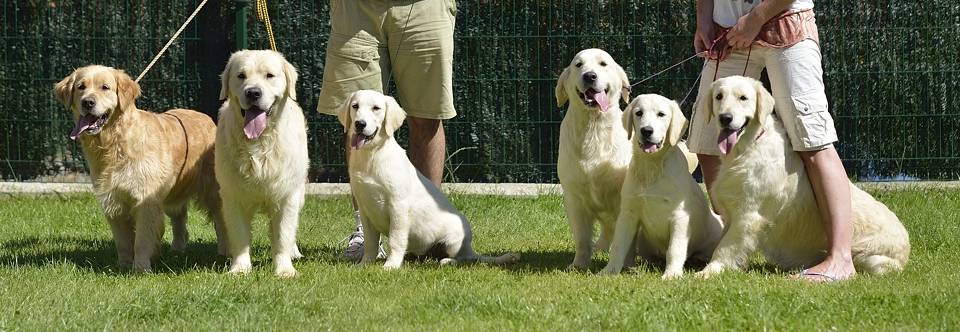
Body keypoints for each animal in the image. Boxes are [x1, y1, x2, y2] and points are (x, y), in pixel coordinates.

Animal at [55, 65, 227, 272]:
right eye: (81, 87)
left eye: (105, 87)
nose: (87, 102)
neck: (115, 143)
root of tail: (207, 118)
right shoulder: (114, 202)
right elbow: (123, 242)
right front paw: (123, 266)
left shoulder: (145, 201)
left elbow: (142, 240)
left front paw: (141, 268)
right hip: (173, 192)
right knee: (179, 221)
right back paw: (177, 250)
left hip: (213, 192)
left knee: (221, 222)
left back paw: (224, 252)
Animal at [217, 50, 308, 278]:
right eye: (241, 76)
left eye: (269, 75)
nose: (253, 93)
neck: (259, 143)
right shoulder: (233, 196)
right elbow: (239, 236)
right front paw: (240, 269)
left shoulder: (287, 195)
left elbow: (284, 234)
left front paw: (284, 269)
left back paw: (294, 253)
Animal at [338, 90, 516, 270]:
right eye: (355, 106)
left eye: (376, 108)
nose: (360, 124)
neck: (372, 155)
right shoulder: (365, 209)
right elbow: (370, 243)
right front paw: (364, 264)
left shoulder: (398, 206)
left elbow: (396, 239)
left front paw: (391, 265)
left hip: (455, 238)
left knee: (465, 258)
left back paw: (448, 261)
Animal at [600, 93, 720, 278]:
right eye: (638, 113)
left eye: (661, 114)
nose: (646, 131)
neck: (653, 166)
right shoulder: (628, 213)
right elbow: (618, 245)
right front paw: (610, 270)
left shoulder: (680, 216)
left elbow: (674, 249)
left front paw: (672, 274)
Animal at [692, 76, 912, 278]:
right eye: (719, 96)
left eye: (743, 98)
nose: (725, 118)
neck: (749, 145)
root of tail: (907, 244)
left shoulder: (748, 214)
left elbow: (725, 248)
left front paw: (708, 272)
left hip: (871, 259)